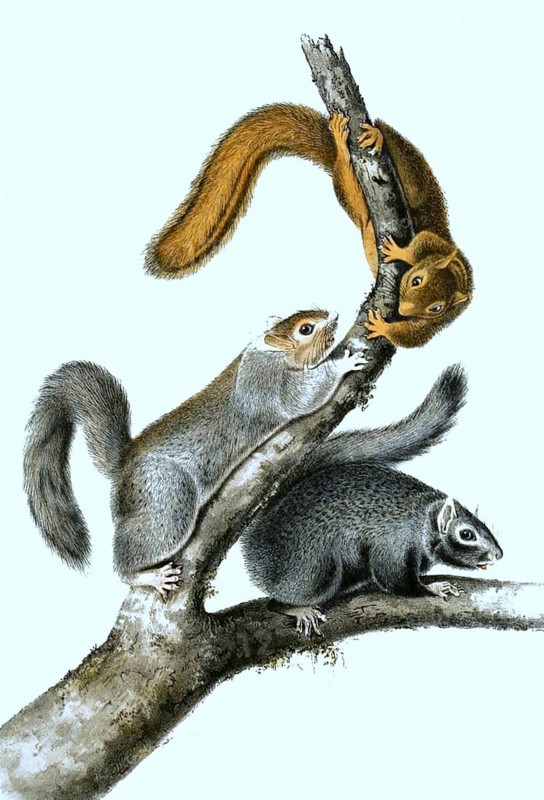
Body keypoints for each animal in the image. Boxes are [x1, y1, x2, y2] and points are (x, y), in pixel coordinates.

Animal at [23, 310, 367, 598]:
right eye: (305, 329)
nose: (334, 315)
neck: (268, 351)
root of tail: (123, 466)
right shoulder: (270, 384)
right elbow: (305, 397)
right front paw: (345, 363)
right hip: (166, 499)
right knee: (130, 558)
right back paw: (148, 577)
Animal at [144, 104, 473, 348]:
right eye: (416, 280)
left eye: (436, 308)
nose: (403, 310)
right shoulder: (437, 243)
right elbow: (424, 242)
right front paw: (402, 253)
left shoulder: (434, 324)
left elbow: (410, 338)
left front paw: (383, 326)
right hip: (399, 179)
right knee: (370, 162)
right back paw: (362, 139)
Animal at [241, 365, 503, 636]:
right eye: (466, 534)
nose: (498, 555)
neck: (421, 517)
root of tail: (256, 538)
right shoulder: (393, 544)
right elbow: (398, 582)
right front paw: (434, 588)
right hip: (313, 570)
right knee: (278, 601)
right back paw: (298, 609)